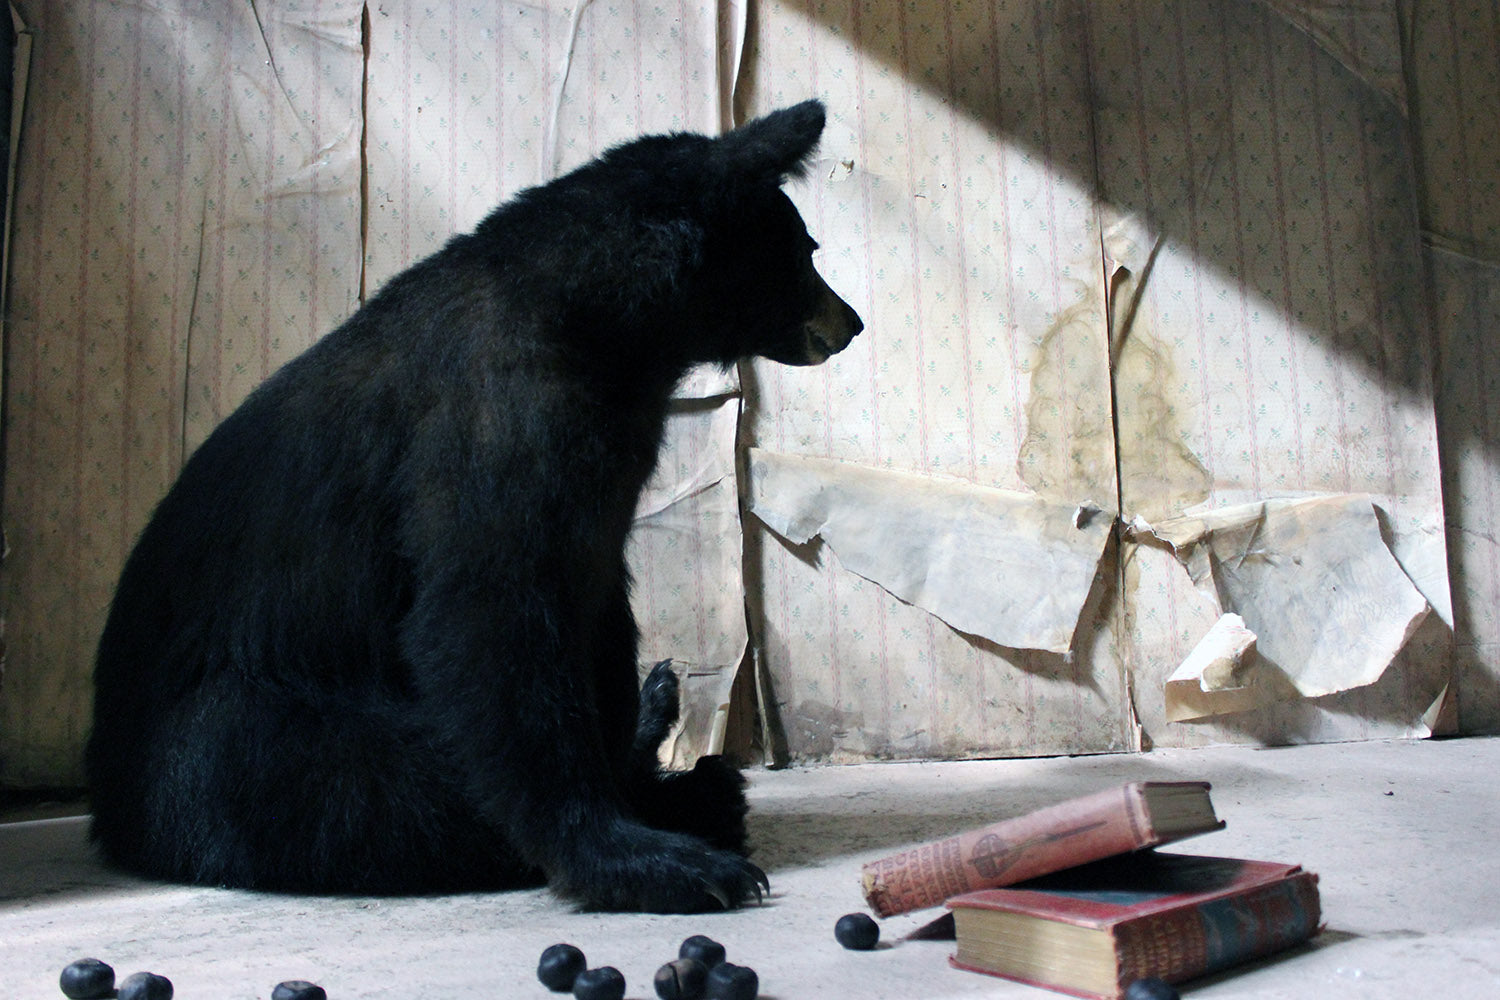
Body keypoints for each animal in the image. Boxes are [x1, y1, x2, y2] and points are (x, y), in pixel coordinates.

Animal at [85, 100, 862, 913]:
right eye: (805, 251)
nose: (852, 323)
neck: (608, 322)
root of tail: (109, 801)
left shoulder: (604, 473)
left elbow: (592, 610)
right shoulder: (501, 418)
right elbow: (488, 616)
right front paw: (641, 857)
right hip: (229, 735)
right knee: (384, 787)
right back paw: (696, 797)